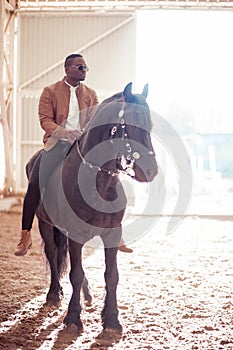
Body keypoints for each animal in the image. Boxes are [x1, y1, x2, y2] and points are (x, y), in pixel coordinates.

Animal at [27, 82, 158, 334]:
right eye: (129, 124)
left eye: (150, 125)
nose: (151, 170)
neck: (98, 182)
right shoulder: (76, 234)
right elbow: (75, 274)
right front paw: (73, 318)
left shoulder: (112, 234)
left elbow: (111, 275)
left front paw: (112, 319)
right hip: (46, 224)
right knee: (53, 253)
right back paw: (54, 294)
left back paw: (86, 295)